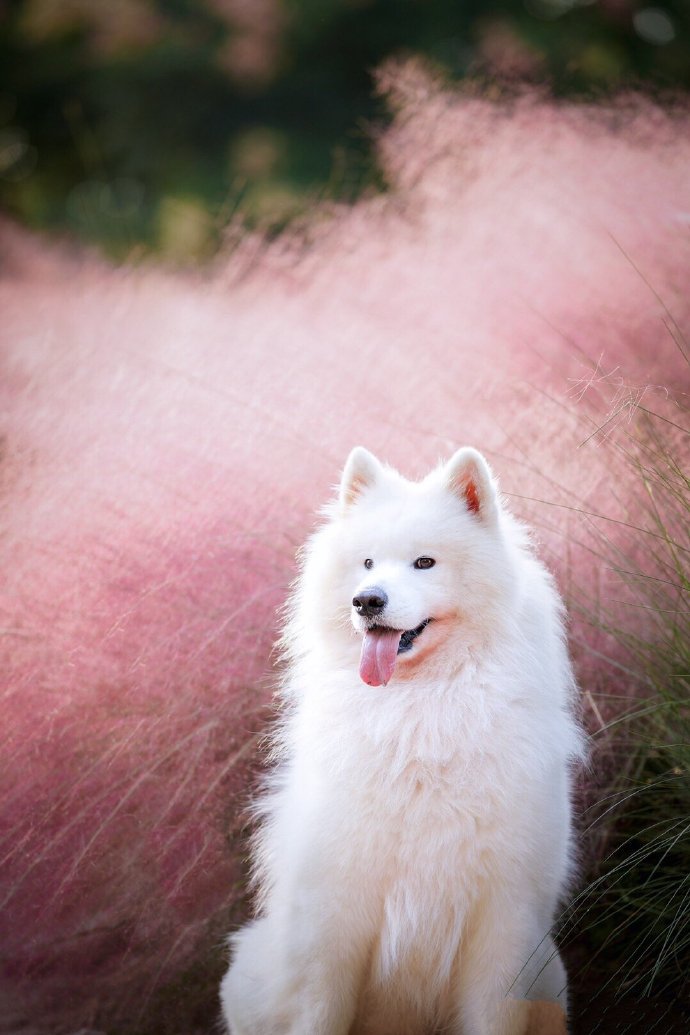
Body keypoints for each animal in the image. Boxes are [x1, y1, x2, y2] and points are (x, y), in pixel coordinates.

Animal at [221, 447, 583, 1035]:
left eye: (424, 563)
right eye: (367, 563)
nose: (366, 601)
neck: (418, 710)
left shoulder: (504, 927)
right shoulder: (330, 920)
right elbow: (319, 1013)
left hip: (551, 978)